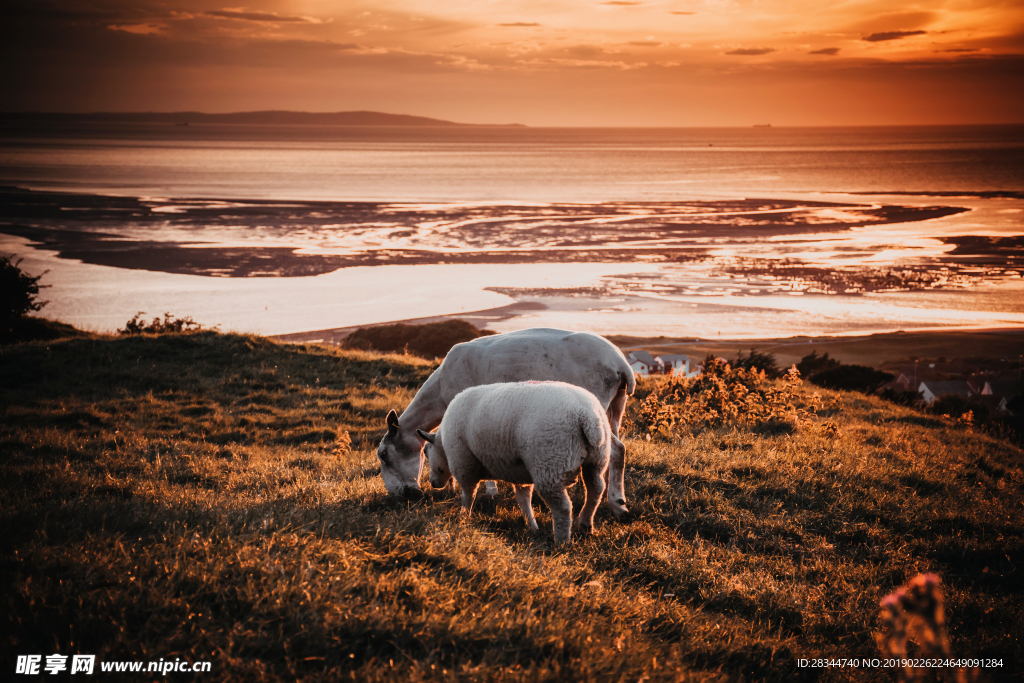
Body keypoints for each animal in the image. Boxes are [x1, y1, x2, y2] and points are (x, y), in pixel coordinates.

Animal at [413, 378, 618, 544]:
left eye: (426, 452)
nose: (433, 484)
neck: (443, 443)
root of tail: (587, 416)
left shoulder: (464, 464)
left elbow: (468, 494)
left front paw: (464, 517)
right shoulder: (520, 472)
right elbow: (523, 499)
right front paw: (532, 526)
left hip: (550, 464)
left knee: (563, 507)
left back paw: (562, 541)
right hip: (596, 460)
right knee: (596, 490)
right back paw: (585, 525)